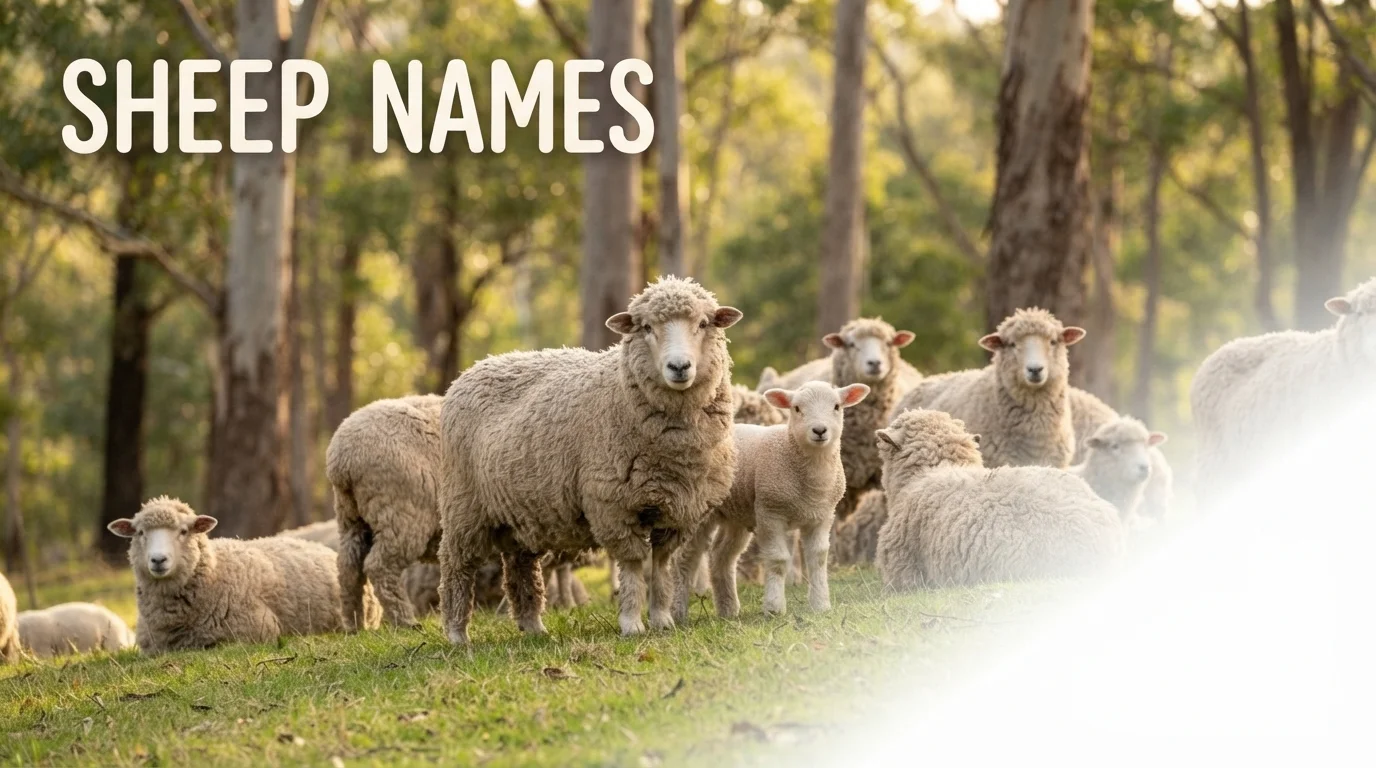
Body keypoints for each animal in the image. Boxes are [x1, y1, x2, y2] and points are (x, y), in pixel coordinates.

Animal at [107, 496, 381, 654]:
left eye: (184, 531)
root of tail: (321, 547)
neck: (216, 572)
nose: (158, 560)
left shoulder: (255, 633)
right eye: (140, 532)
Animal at [327, 394, 444, 629]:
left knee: (348, 568)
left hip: (350, 516)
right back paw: (406, 621)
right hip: (402, 515)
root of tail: (342, 458)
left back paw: (355, 625)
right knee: (380, 567)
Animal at [438, 276, 741, 643]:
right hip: (463, 507)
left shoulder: (676, 511)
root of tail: (473, 369)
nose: (679, 367)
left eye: (703, 324)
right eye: (647, 327)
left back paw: (533, 626)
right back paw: (457, 633)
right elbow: (634, 566)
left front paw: (662, 619)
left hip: (520, 511)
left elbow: (660, 565)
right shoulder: (614, 505)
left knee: (521, 565)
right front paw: (631, 623)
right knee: (457, 566)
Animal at [672, 381, 870, 621]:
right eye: (796, 408)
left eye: (837, 406)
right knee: (685, 558)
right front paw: (774, 607)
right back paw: (678, 612)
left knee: (721, 555)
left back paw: (728, 609)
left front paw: (820, 604)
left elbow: (818, 558)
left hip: (737, 513)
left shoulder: (821, 516)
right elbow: (778, 560)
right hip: (700, 512)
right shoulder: (770, 513)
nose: (820, 431)